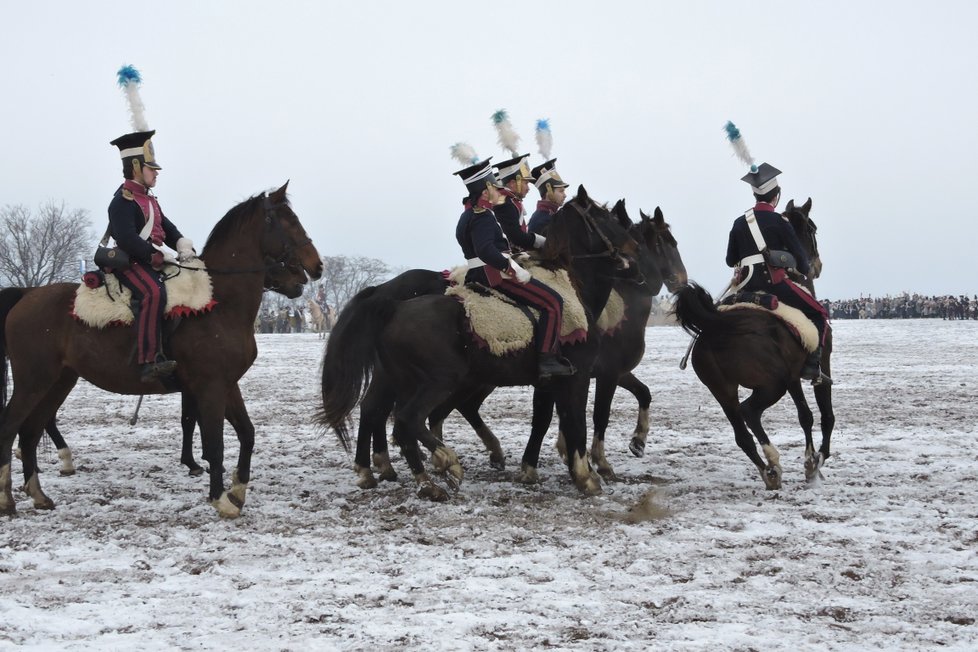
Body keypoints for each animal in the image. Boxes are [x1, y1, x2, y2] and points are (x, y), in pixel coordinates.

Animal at [0, 181, 320, 516]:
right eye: (288, 220)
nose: (314, 268)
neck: (219, 302)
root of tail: (26, 295)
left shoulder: (226, 384)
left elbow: (246, 433)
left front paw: (237, 490)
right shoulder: (210, 387)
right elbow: (214, 442)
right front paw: (219, 497)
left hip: (58, 382)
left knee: (31, 432)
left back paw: (38, 494)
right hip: (34, 381)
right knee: (10, 428)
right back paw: (7, 498)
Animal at [322, 186, 640, 502]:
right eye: (604, 217)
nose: (635, 254)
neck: (572, 288)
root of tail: (393, 305)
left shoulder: (552, 382)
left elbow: (553, 420)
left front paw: (549, 469)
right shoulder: (578, 376)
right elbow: (576, 422)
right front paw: (586, 476)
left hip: (401, 379)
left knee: (383, 414)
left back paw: (403, 476)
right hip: (439, 381)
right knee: (406, 419)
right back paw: (442, 466)